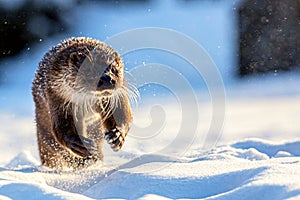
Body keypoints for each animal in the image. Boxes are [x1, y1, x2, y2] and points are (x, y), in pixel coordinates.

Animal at [31, 37, 137, 169]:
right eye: (90, 70)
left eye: (113, 68)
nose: (107, 79)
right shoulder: (57, 97)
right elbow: (61, 128)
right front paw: (79, 144)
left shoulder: (116, 97)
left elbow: (124, 116)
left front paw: (116, 136)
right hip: (43, 130)